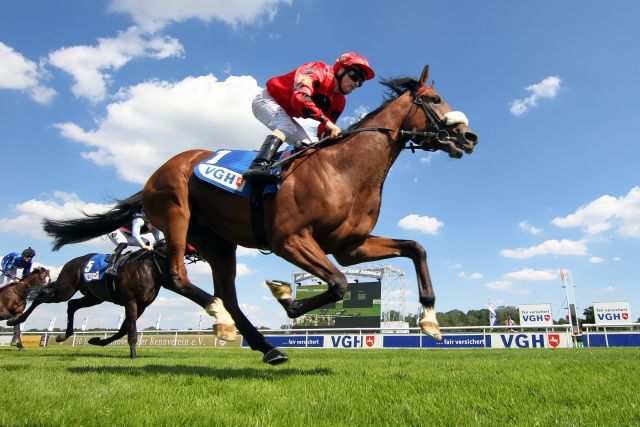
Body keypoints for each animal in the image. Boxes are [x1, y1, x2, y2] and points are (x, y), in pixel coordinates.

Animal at [42, 67, 478, 364]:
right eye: (434, 100)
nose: (469, 137)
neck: (343, 168)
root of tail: (155, 173)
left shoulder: (350, 246)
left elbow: (415, 247)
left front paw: (430, 321)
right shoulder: (290, 240)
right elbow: (338, 284)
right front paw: (284, 294)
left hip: (218, 243)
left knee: (229, 296)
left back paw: (266, 347)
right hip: (176, 214)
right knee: (181, 276)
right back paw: (221, 321)